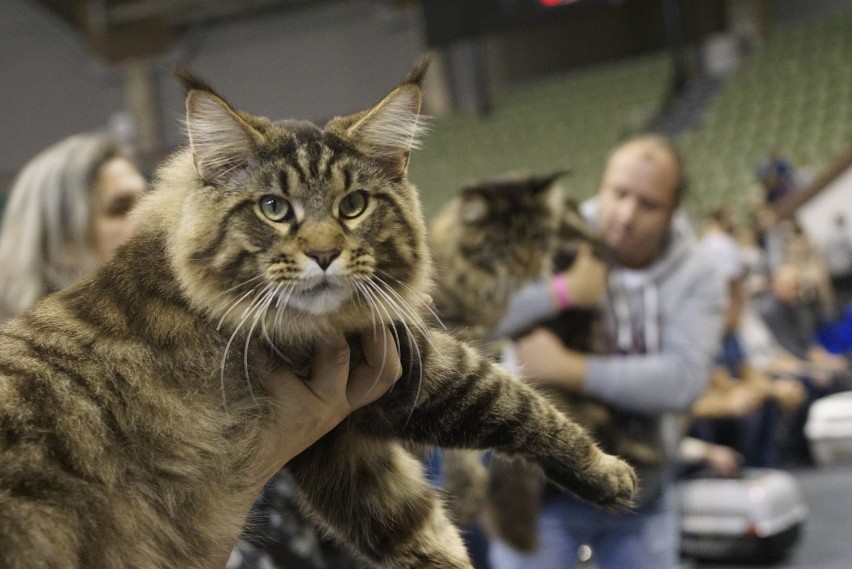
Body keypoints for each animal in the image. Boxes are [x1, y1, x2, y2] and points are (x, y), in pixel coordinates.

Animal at [0, 58, 632, 568]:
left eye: (353, 205)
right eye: (274, 209)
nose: (325, 254)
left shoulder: (338, 442)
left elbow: (415, 529)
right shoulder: (405, 367)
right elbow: (515, 403)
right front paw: (607, 472)